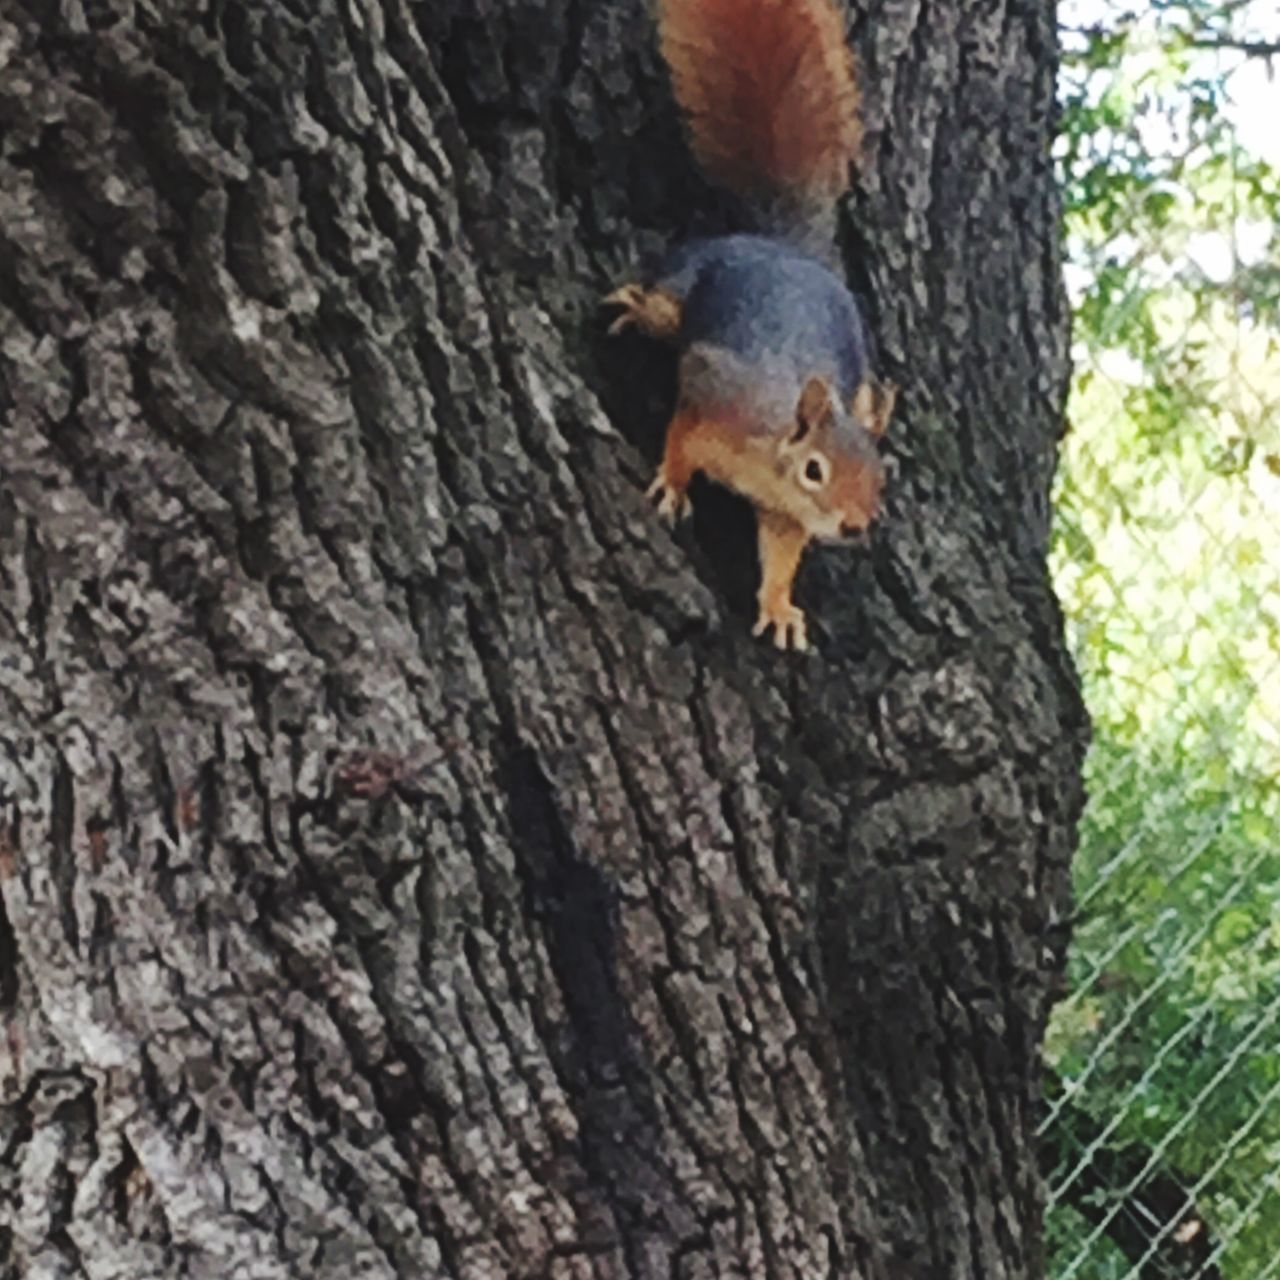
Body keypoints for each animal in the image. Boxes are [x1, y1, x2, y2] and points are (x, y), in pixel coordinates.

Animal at [601, 0, 896, 650]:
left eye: (878, 477)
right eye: (816, 469)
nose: (853, 524)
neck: (772, 463)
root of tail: (787, 249)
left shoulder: (787, 515)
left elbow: (781, 555)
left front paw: (780, 606)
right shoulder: (716, 399)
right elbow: (681, 435)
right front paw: (672, 483)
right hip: (688, 282)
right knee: (664, 309)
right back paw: (634, 308)